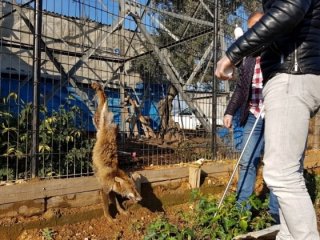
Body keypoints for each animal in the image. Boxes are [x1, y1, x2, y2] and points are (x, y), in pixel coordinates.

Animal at [92, 82, 142, 221]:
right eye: (131, 190)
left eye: (136, 189)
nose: (140, 198)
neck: (113, 174)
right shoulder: (104, 190)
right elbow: (106, 208)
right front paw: (110, 219)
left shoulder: (111, 191)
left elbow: (117, 204)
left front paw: (122, 212)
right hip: (101, 117)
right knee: (103, 99)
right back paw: (98, 87)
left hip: (99, 125)